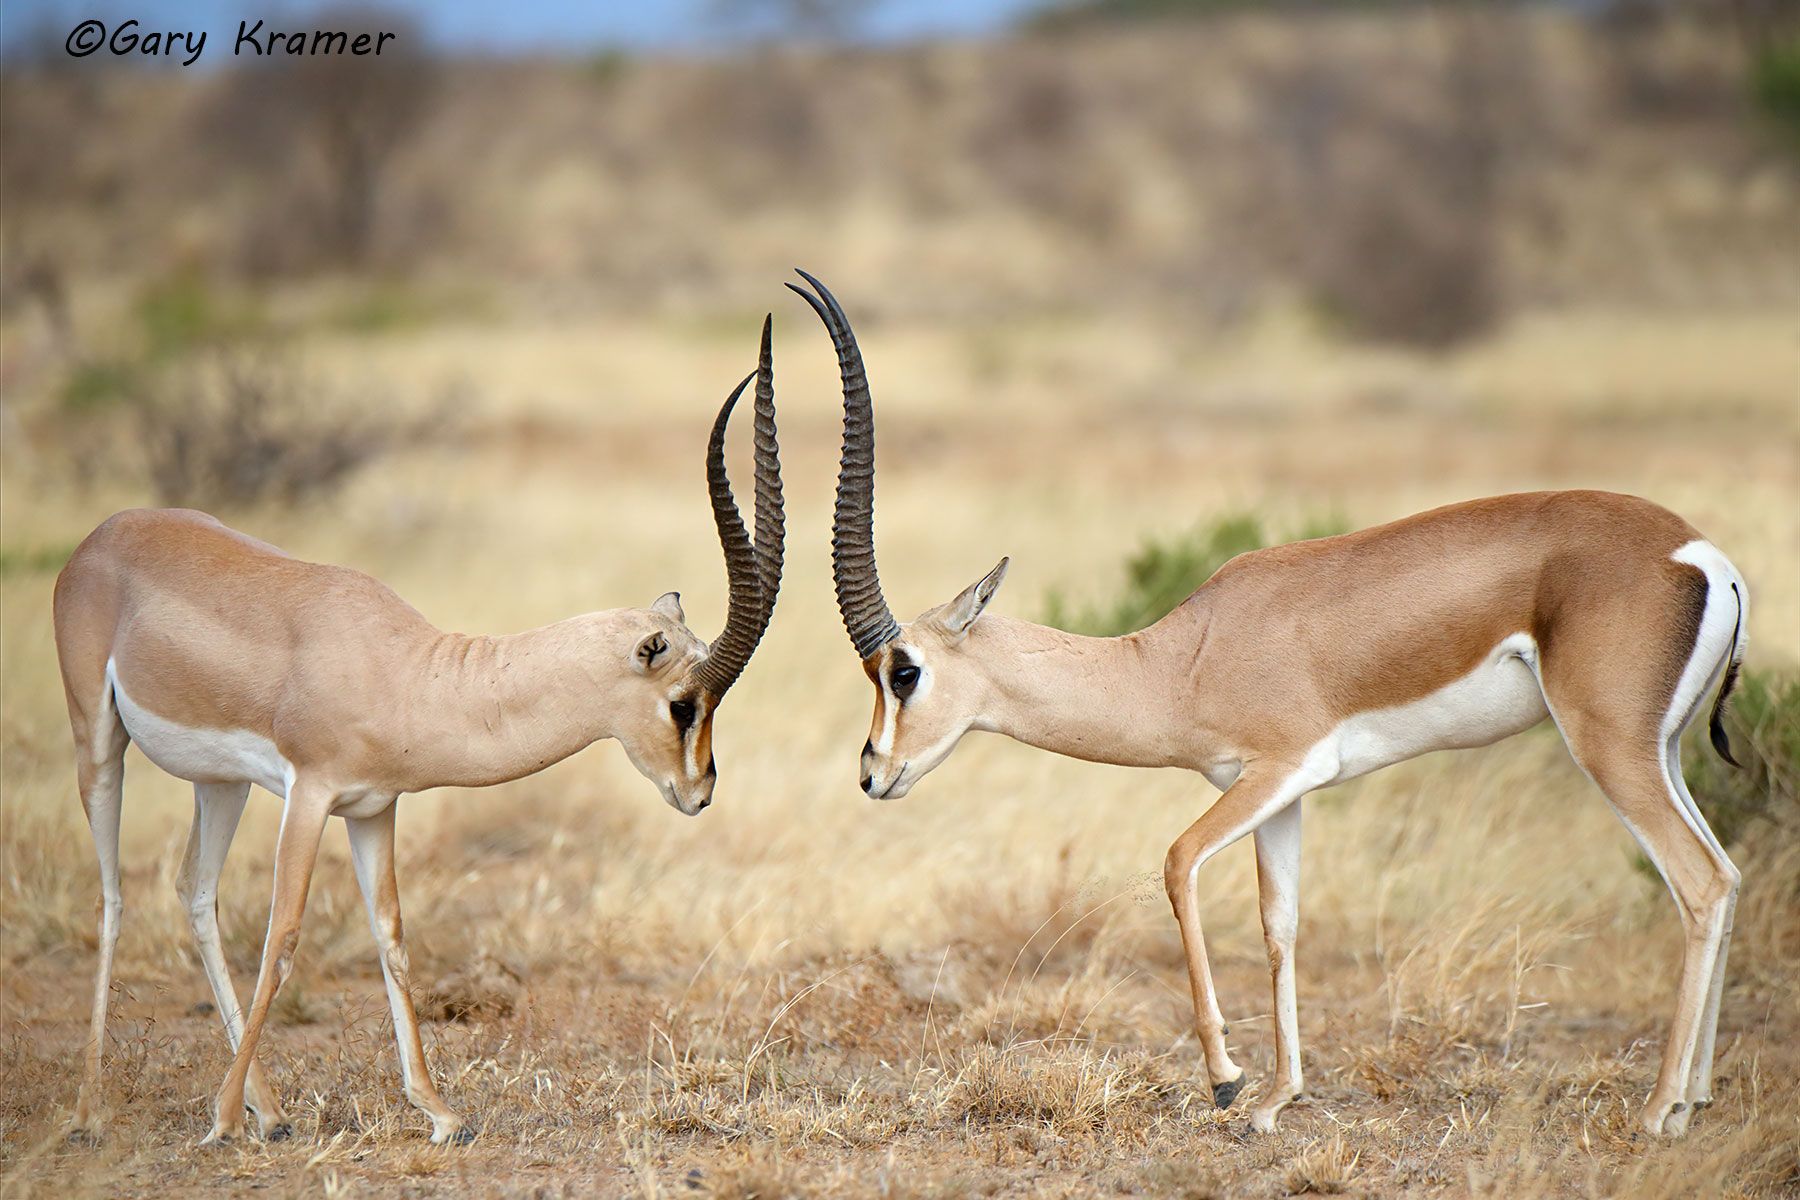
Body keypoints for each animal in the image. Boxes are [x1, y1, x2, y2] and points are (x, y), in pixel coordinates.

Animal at [53, 319, 784, 1147]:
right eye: (684, 703)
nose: (701, 791)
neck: (410, 673)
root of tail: (101, 536)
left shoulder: (374, 809)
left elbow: (392, 934)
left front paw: (438, 1111)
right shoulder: (311, 795)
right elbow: (285, 935)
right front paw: (219, 1118)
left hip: (222, 783)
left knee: (194, 889)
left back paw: (268, 1110)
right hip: (98, 741)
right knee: (114, 896)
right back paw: (96, 1110)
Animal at [789, 270, 1749, 1138]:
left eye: (902, 670)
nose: (873, 772)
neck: (1179, 659)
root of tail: (1702, 557)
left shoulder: (1276, 768)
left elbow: (1177, 862)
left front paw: (1225, 1080)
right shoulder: (1277, 794)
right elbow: (1279, 923)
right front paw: (1276, 1100)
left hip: (1608, 748)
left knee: (1698, 882)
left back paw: (1659, 1112)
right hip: (1660, 750)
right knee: (1727, 874)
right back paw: (1696, 1096)